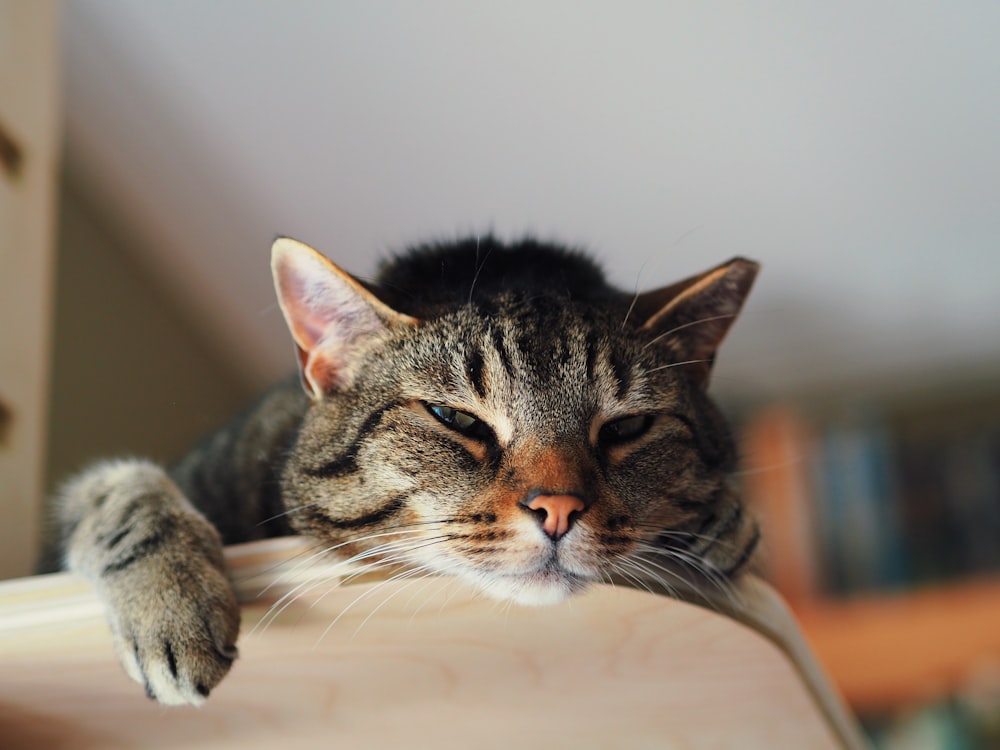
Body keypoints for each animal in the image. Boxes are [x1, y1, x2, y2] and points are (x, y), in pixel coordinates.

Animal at [52, 238, 756, 708]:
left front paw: (723, 518)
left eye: (626, 429)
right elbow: (115, 489)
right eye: (456, 418)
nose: (558, 509)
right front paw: (171, 604)